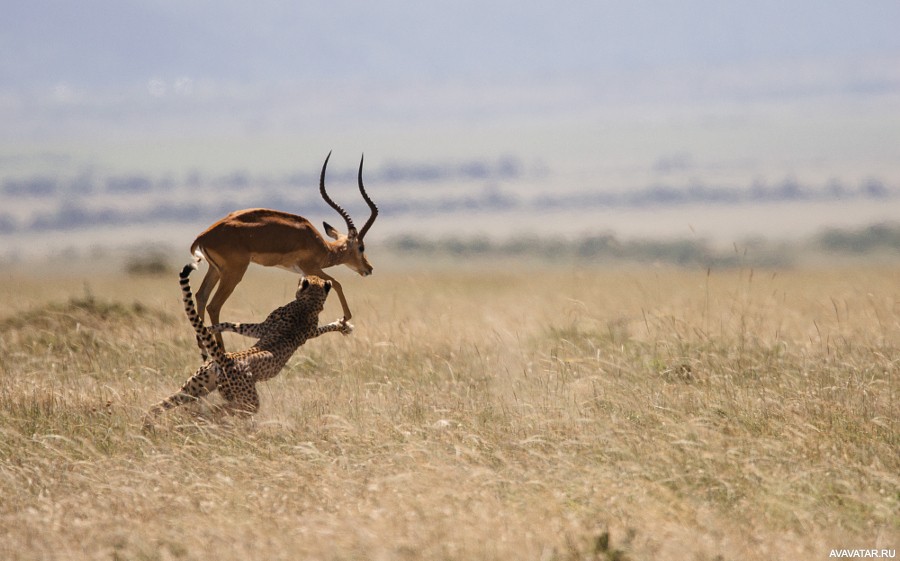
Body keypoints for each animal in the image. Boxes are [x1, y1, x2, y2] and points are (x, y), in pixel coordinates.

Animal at [145, 262, 352, 424]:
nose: (302, 275)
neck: (309, 303)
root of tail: (225, 358)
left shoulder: (266, 329)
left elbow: (236, 325)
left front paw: (343, 326)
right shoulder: (268, 328)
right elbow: (235, 324)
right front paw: (211, 328)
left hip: (203, 391)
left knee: (165, 407)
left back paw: (158, 425)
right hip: (231, 396)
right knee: (217, 410)